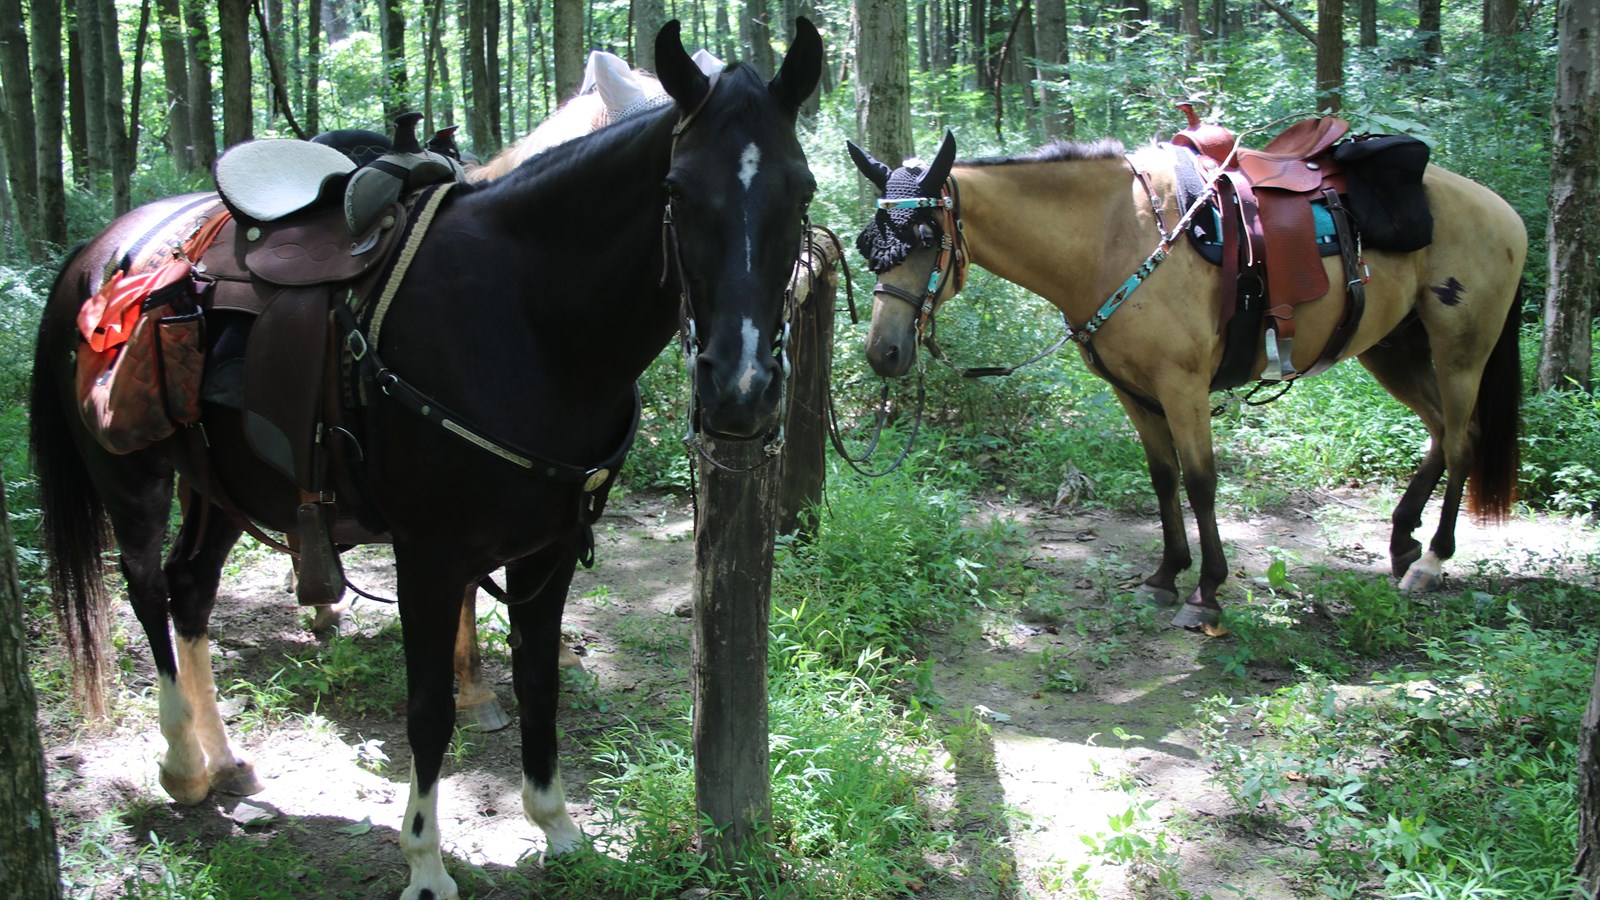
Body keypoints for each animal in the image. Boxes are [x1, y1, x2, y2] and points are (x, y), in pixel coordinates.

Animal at [31, 19, 822, 899]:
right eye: (677, 191)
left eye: (803, 190)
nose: (742, 388)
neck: (526, 315)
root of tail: (97, 252)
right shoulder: (432, 557)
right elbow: (429, 709)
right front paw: (425, 863)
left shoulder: (546, 553)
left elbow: (538, 682)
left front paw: (557, 828)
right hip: (130, 478)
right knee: (144, 588)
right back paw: (180, 765)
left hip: (224, 485)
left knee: (189, 588)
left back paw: (223, 760)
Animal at [848, 129, 1525, 628]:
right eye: (865, 244)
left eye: (926, 237)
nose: (884, 352)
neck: (1115, 237)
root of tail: (1502, 209)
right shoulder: (1132, 390)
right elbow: (1163, 477)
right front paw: (1166, 574)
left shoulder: (1183, 387)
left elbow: (1200, 482)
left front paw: (1208, 590)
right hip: (1392, 350)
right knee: (1439, 433)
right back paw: (1403, 540)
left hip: (1460, 352)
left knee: (1462, 441)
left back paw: (1432, 561)